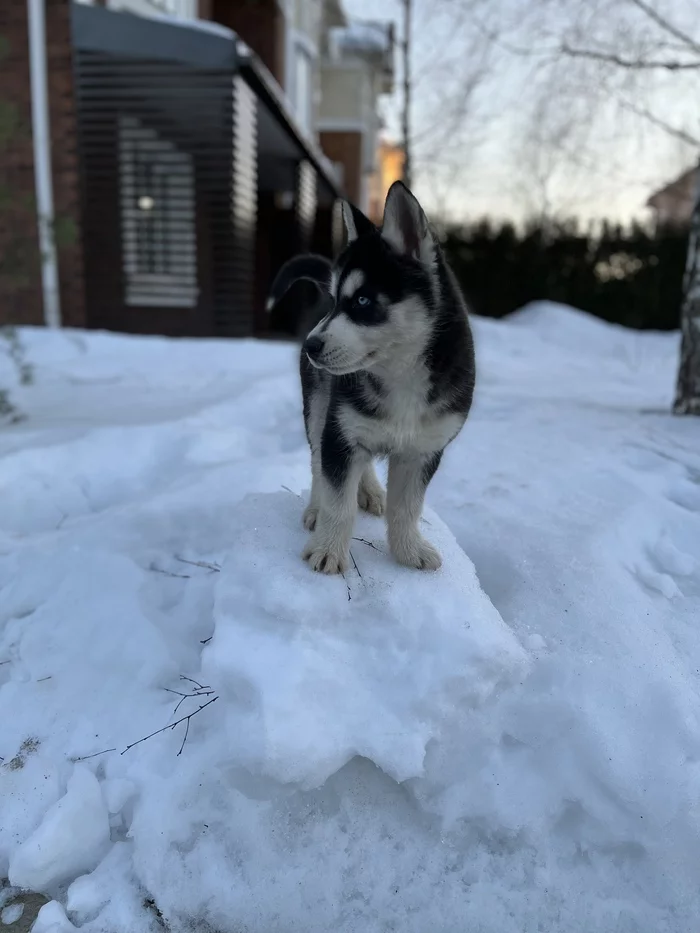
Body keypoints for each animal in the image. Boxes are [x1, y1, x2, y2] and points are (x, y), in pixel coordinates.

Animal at [268, 180, 476, 576]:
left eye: (363, 302)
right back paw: (317, 508)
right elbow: (338, 499)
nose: (310, 346)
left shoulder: (423, 450)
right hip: (320, 405)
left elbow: (407, 508)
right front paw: (328, 550)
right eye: (337, 301)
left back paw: (371, 491)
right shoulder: (340, 432)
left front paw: (409, 551)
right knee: (318, 461)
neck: (401, 375)